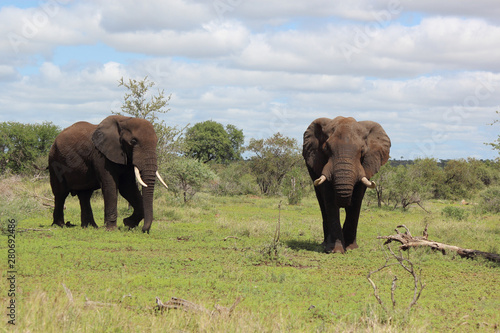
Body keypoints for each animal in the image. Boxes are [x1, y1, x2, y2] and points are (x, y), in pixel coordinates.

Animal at [300, 115, 390, 253]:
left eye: (362, 151)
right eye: (326, 149)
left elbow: (357, 199)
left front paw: (351, 248)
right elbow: (330, 200)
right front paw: (336, 250)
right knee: (322, 203)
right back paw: (325, 244)